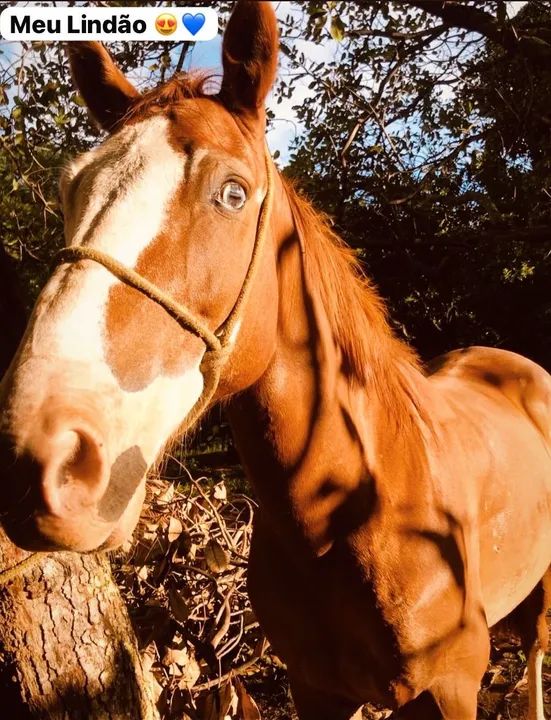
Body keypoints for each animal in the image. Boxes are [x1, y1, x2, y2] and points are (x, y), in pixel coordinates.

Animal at [0, 2, 549, 718]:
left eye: (233, 193)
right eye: (71, 189)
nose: (37, 456)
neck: (358, 511)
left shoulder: (450, 688)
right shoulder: (314, 688)